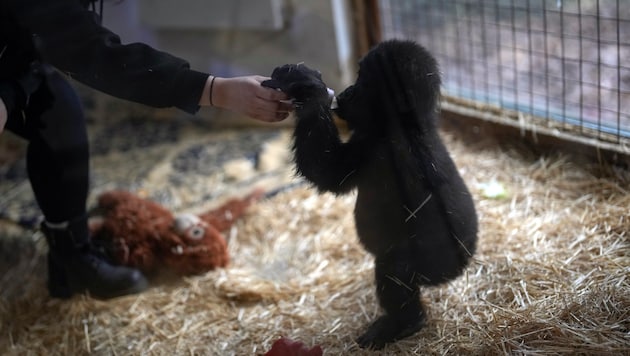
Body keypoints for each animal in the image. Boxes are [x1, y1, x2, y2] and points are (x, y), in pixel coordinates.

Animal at [266, 40, 478, 350]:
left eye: (363, 81)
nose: (346, 92)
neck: (406, 122)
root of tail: (460, 269)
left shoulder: (383, 151)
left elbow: (325, 169)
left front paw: (308, 90)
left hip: (435, 267)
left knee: (395, 268)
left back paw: (404, 322)